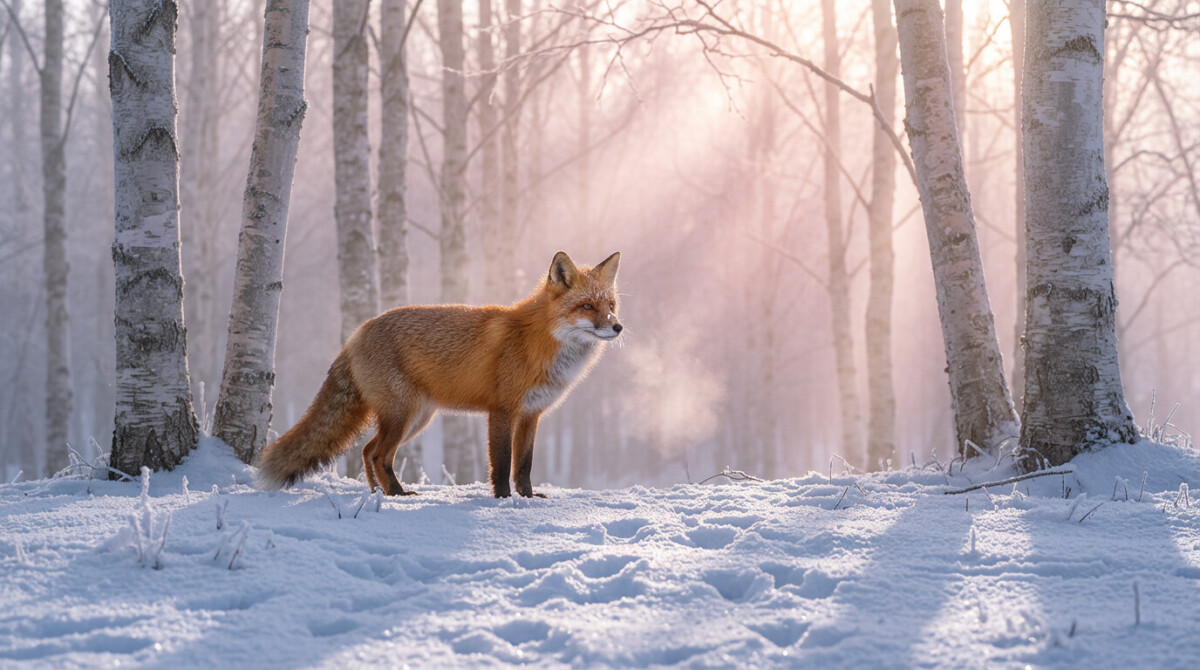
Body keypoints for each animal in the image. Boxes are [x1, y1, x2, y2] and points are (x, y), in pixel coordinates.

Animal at [257, 251, 622, 498]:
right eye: (587, 306)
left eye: (611, 306)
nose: (618, 327)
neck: (539, 342)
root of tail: (357, 333)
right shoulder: (502, 410)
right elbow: (502, 464)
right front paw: (504, 501)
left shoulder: (532, 414)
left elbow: (524, 465)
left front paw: (528, 498)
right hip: (404, 415)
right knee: (378, 454)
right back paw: (398, 496)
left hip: (415, 419)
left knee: (367, 451)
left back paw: (379, 495)